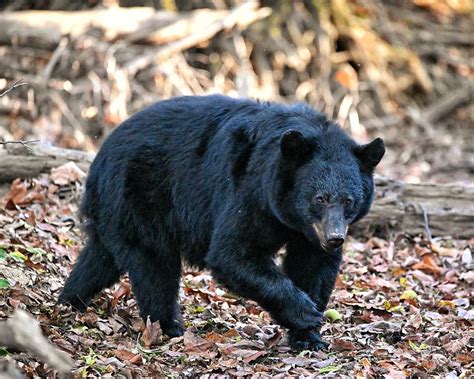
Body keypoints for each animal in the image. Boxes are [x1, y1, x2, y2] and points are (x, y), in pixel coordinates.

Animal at [60, 95, 386, 350]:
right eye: (319, 198)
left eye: (349, 201)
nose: (335, 238)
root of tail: (98, 160)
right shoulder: (250, 192)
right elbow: (233, 253)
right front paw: (305, 313)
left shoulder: (307, 232)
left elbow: (312, 265)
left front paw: (309, 335)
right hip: (140, 194)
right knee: (154, 265)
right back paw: (169, 326)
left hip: (116, 211)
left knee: (101, 258)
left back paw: (70, 299)